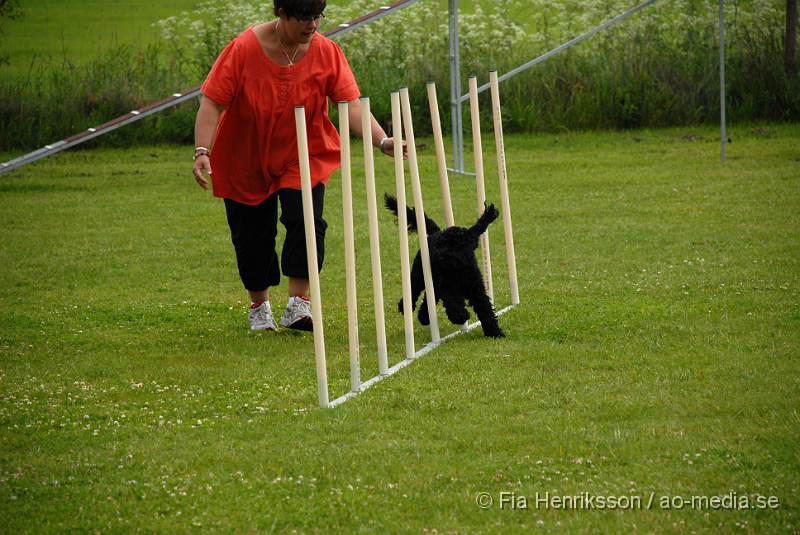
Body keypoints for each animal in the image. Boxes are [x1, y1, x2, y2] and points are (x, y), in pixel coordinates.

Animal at [384, 195, 504, 338]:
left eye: (455, 245)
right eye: (441, 244)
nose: (439, 256)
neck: (458, 271)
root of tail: (436, 232)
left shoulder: (476, 290)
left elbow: (486, 310)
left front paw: (495, 332)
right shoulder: (448, 288)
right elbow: (453, 304)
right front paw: (462, 316)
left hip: (433, 282)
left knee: (427, 299)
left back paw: (424, 317)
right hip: (419, 275)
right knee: (414, 290)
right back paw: (405, 307)